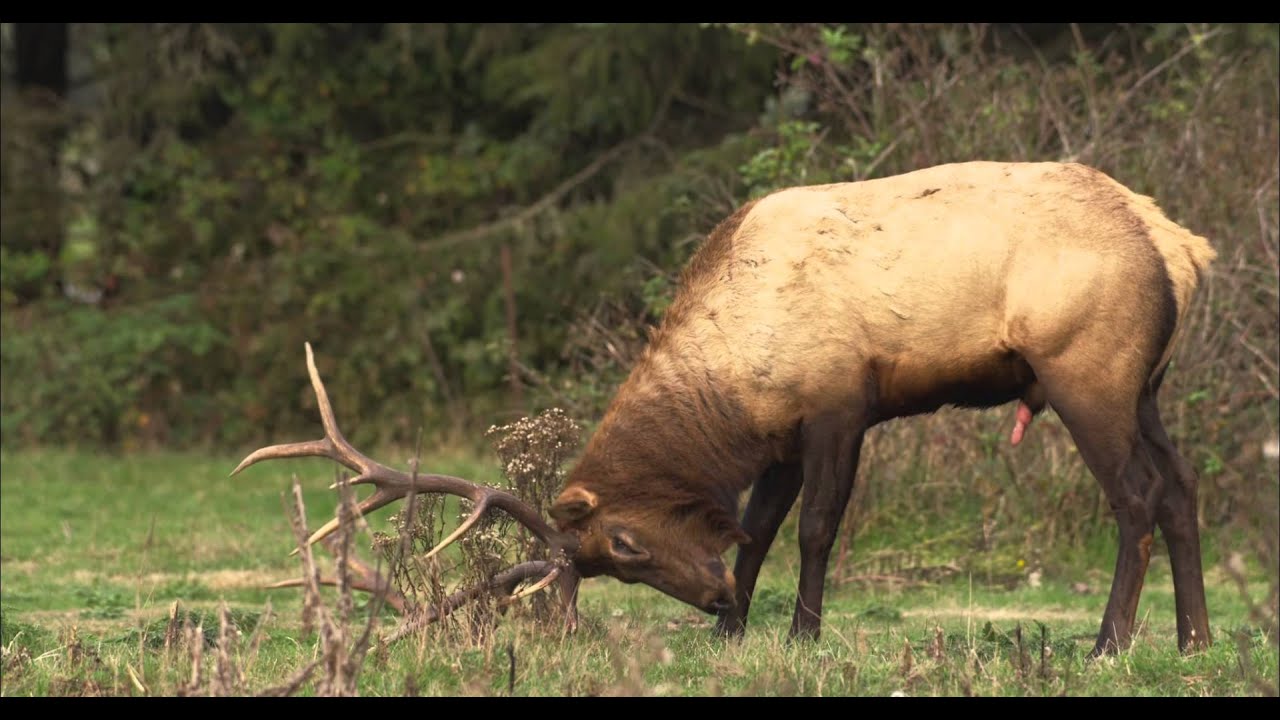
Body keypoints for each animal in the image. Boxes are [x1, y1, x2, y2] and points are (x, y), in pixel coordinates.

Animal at [234, 160, 1216, 658]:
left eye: (623, 545)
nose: (705, 599)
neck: (740, 379)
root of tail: (1182, 247)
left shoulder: (839, 404)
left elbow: (815, 525)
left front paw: (800, 632)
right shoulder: (780, 435)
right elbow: (758, 523)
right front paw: (737, 625)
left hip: (1085, 368)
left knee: (1134, 495)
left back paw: (1110, 642)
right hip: (1148, 385)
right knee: (1182, 487)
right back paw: (1196, 640)